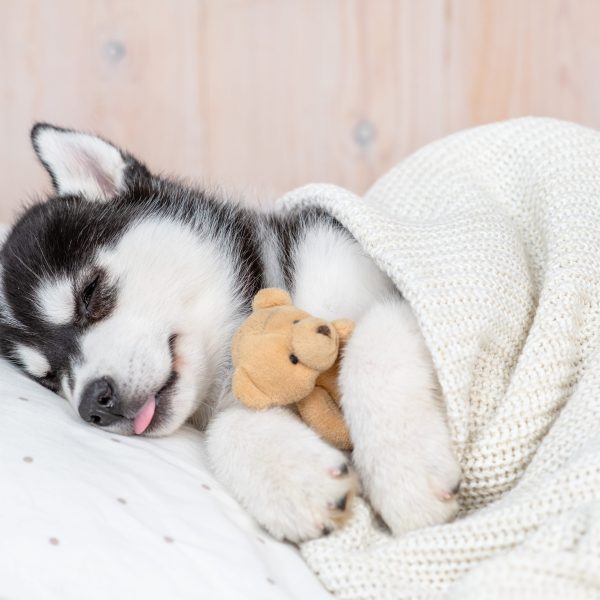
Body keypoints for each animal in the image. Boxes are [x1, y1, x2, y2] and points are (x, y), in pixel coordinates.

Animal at [0, 125, 460, 544]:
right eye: (49, 377)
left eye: (89, 293)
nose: (93, 404)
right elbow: (228, 426)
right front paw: (297, 480)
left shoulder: (399, 287)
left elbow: (372, 344)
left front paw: (405, 476)